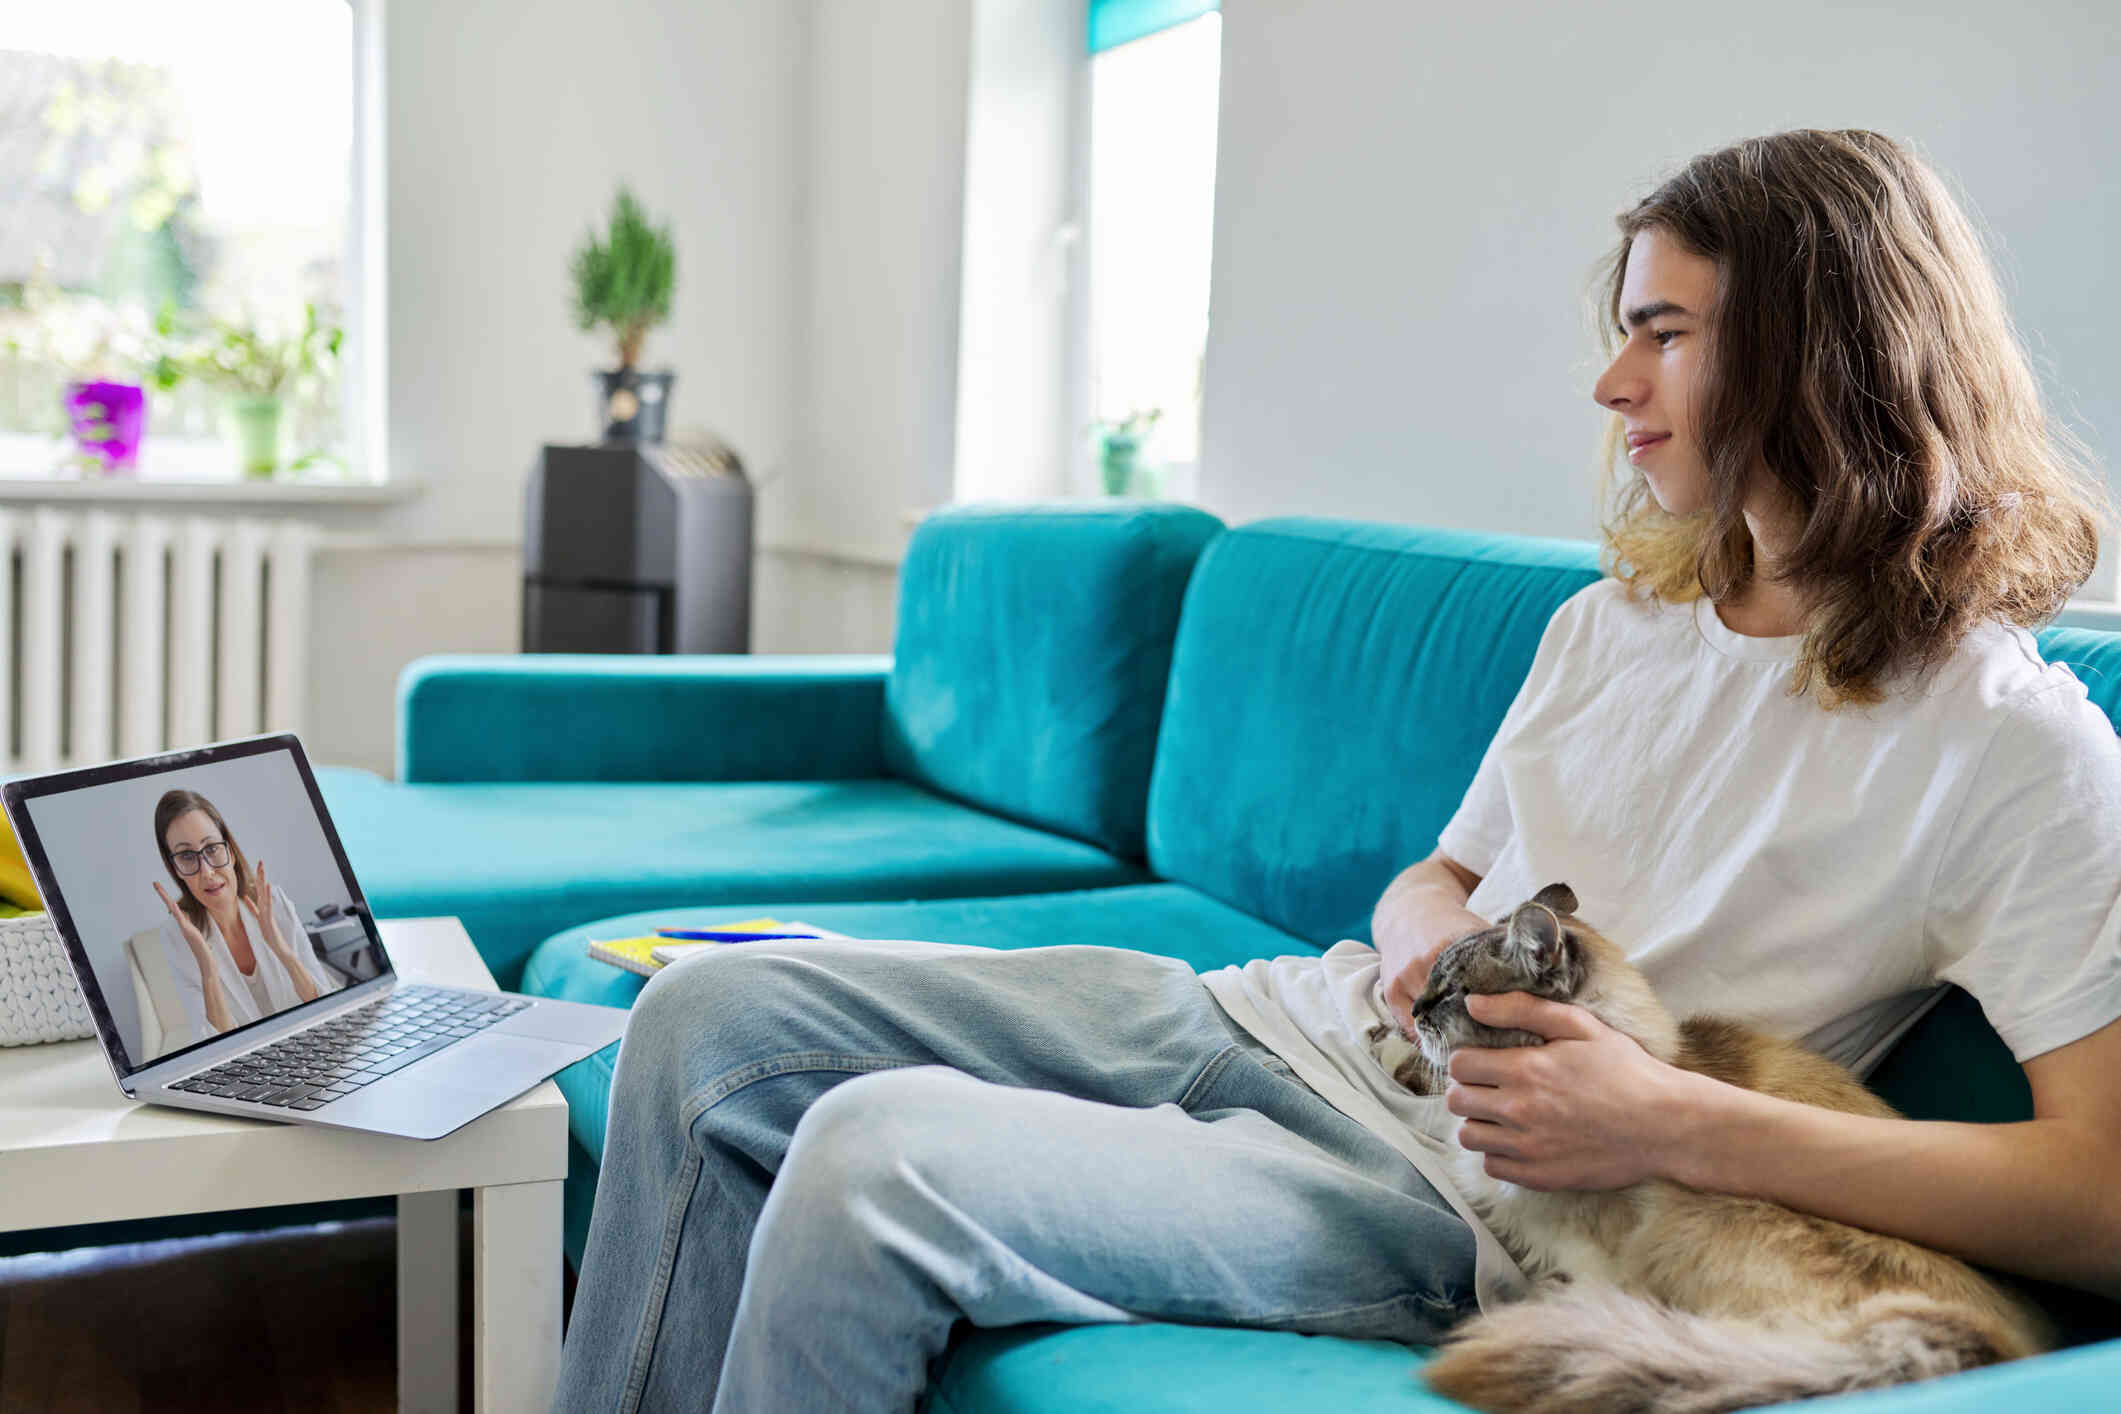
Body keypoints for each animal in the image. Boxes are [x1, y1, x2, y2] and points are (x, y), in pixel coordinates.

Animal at [1365, 886, 2044, 1414]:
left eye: (1452, 992)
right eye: (1430, 980)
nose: (1415, 1008)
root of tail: (1976, 1343)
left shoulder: (1589, 1258)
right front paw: (1389, 1044)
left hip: (1690, 1216)